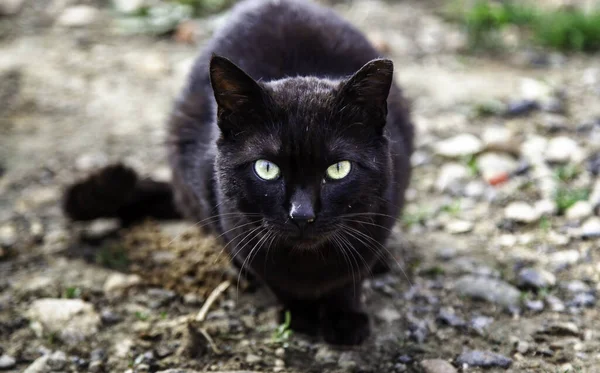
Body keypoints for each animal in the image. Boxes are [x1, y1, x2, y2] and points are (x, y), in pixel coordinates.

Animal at [63, 0, 414, 344]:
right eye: (267, 169)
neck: (308, 263)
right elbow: (274, 279)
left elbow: (350, 277)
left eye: (339, 169)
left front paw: (345, 318)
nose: (302, 215)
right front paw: (300, 316)